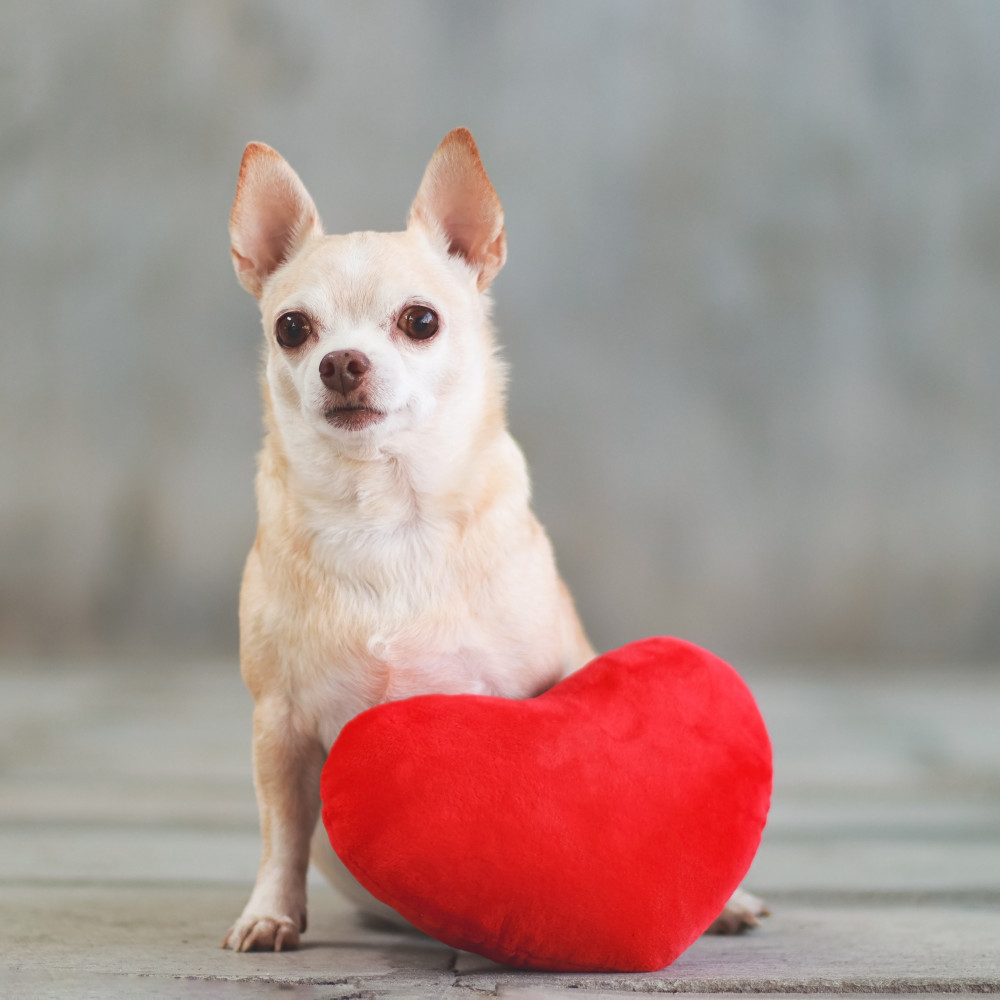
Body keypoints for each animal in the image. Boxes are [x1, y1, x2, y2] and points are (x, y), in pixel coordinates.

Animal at [221, 129, 764, 948]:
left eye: (420, 321)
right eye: (292, 328)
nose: (340, 362)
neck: (387, 510)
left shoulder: (528, 688)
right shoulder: (278, 726)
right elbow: (281, 833)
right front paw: (270, 913)